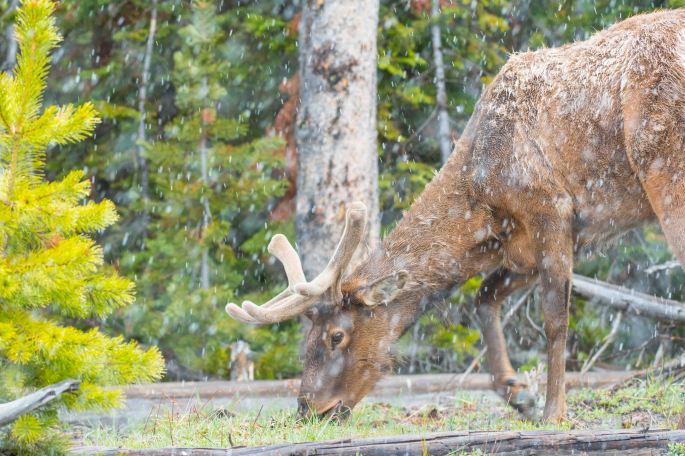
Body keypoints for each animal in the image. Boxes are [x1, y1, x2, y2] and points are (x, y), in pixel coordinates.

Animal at [226, 9, 685, 424]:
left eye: (337, 335)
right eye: (308, 336)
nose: (308, 409)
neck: (481, 203)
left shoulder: (550, 209)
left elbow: (555, 319)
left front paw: (553, 412)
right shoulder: (523, 245)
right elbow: (484, 298)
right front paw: (517, 392)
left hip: (664, 169)